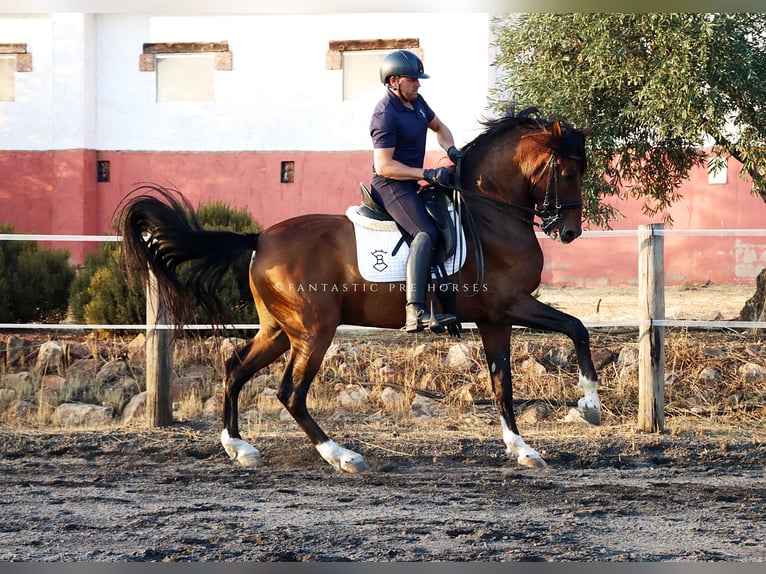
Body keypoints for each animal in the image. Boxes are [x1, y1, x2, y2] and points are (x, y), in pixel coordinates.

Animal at [117, 108, 600, 472]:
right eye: (568, 171)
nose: (570, 232)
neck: (489, 213)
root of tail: (260, 238)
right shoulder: (514, 304)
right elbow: (577, 328)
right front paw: (590, 406)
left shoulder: (494, 318)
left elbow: (503, 384)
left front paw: (523, 450)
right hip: (315, 331)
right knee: (290, 392)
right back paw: (341, 456)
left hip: (280, 330)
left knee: (235, 368)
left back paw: (239, 448)